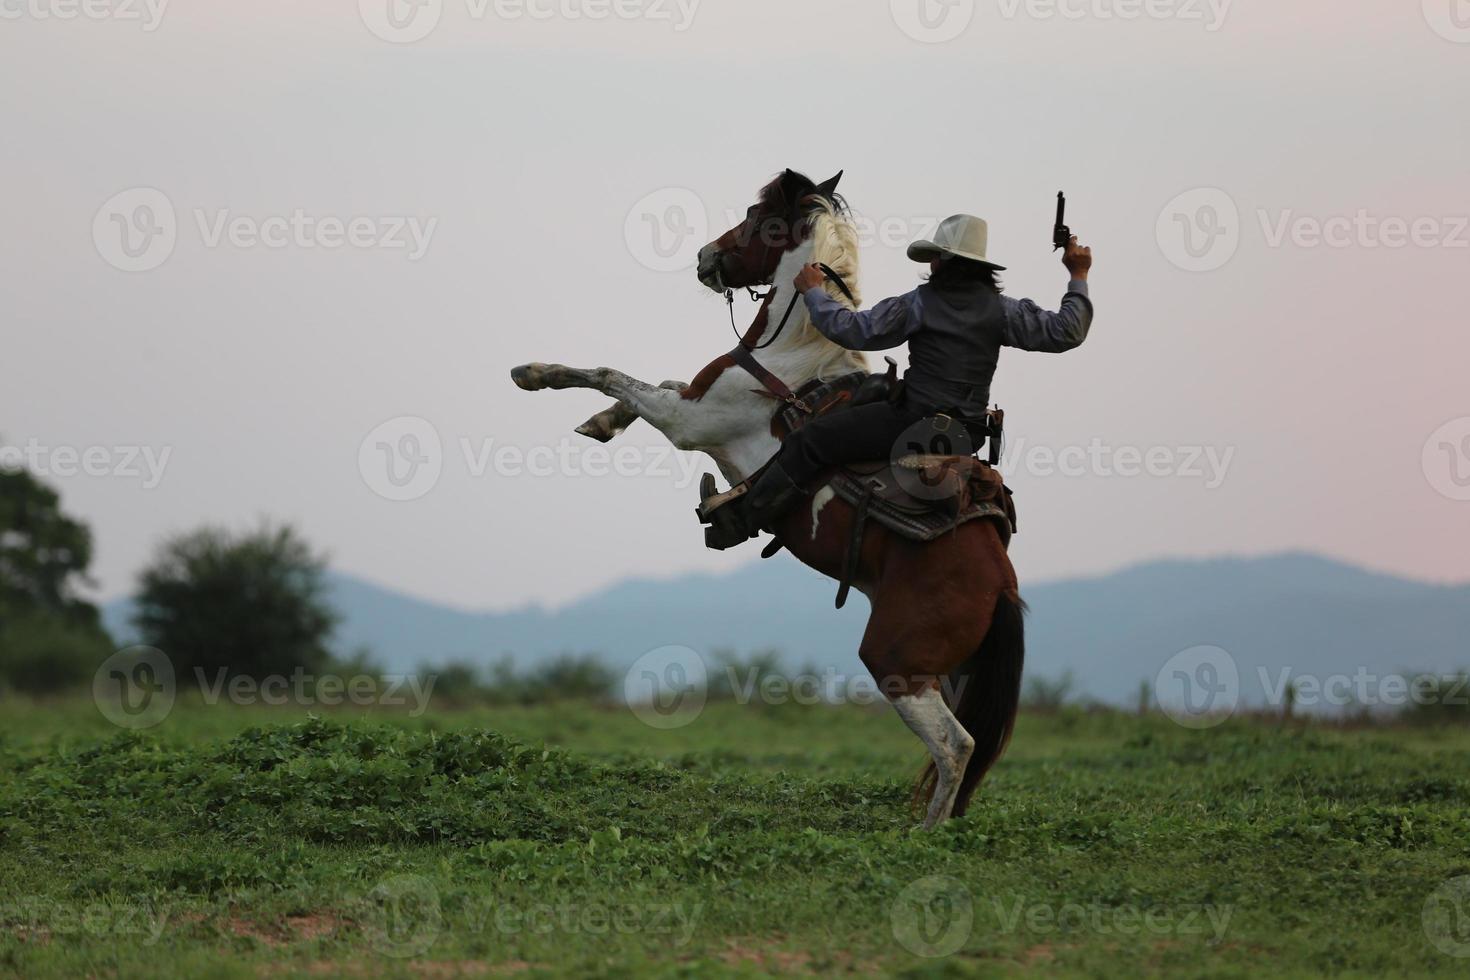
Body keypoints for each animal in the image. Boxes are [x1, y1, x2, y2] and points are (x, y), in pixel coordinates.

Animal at [514, 170, 1023, 828]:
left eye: (757, 219)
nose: (705, 256)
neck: (790, 356)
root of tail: (1001, 583)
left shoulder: (689, 424)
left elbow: (613, 374)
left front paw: (535, 373)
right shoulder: (692, 404)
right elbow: (652, 384)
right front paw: (600, 423)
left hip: (897, 662)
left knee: (955, 745)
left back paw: (923, 836)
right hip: (950, 673)